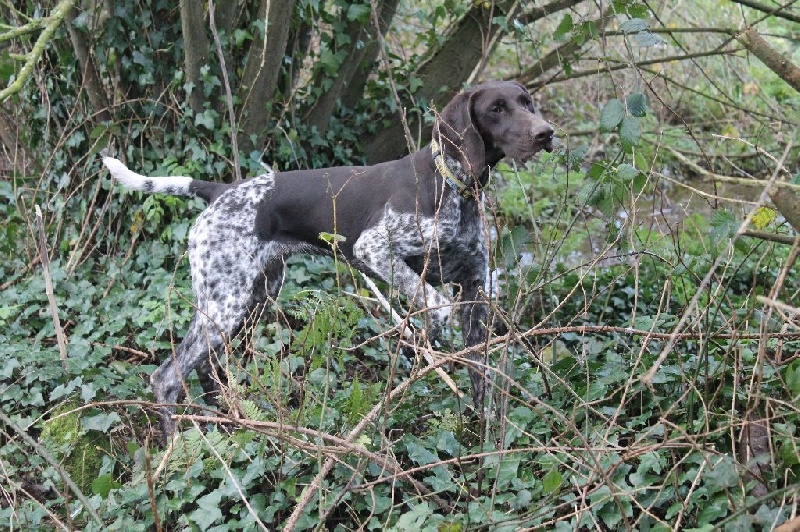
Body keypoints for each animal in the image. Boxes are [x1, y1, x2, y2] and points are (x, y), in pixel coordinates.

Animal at [103, 81, 552, 438]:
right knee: (166, 377)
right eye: (496, 109)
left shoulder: (475, 290)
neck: (453, 183)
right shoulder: (374, 248)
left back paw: (232, 423)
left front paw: (483, 442)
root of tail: (220, 190)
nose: (546, 133)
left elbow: (482, 378)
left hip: (254, 298)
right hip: (226, 305)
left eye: (527, 102)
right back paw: (177, 450)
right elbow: (434, 302)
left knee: (205, 367)